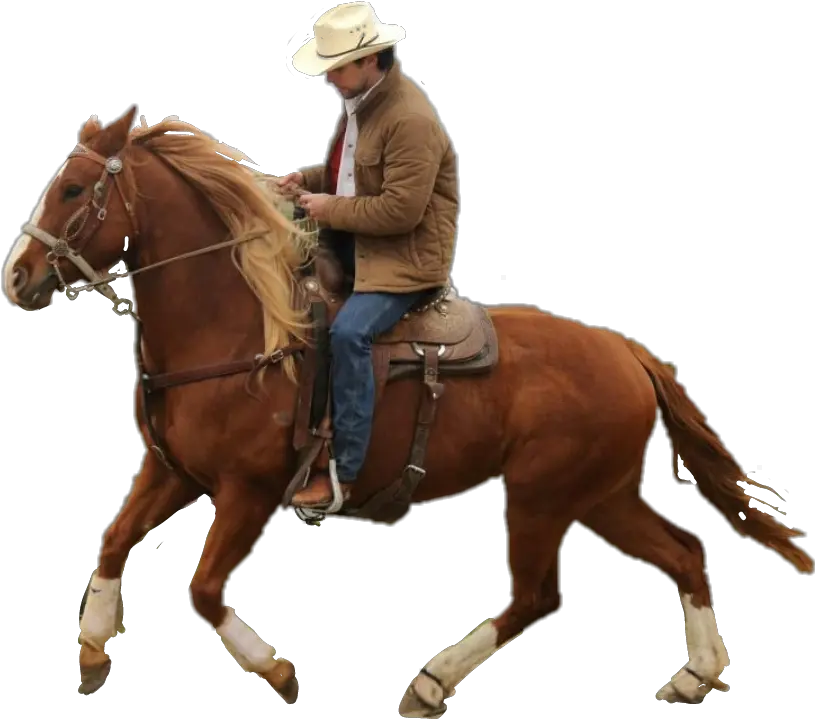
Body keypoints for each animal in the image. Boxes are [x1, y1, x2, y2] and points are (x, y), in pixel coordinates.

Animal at [3, 106, 811, 713]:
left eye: (74, 190)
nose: (17, 276)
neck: (241, 328)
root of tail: (627, 353)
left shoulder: (249, 491)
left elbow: (202, 588)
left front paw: (278, 671)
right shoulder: (172, 471)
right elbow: (114, 542)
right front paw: (92, 650)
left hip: (544, 495)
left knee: (537, 595)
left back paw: (429, 682)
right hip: (602, 495)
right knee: (685, 553)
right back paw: (696, 674)